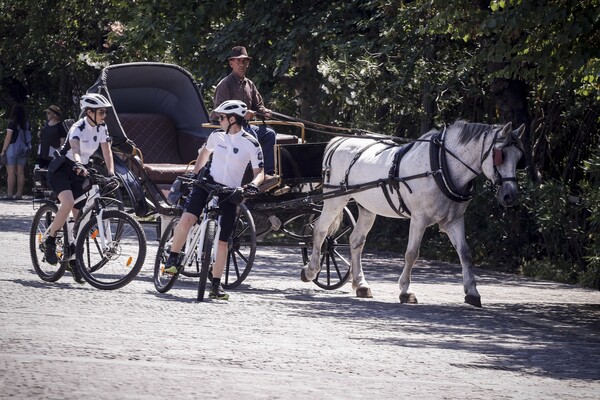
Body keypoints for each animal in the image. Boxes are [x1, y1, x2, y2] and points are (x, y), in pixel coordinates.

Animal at [302, 120, 524, 308]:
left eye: (519, 158)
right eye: (500, 155)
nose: (510, 195)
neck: (441, 166)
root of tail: (339, 141)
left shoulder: (454, 221)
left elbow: (465, 253)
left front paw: (472, 292)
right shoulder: (419, 218)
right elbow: (412, 253)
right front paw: (406, 292)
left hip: (367, 208)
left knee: (356, 240)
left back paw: (361, 285)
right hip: (334, 200)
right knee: (320, 231)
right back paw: (310, 270)